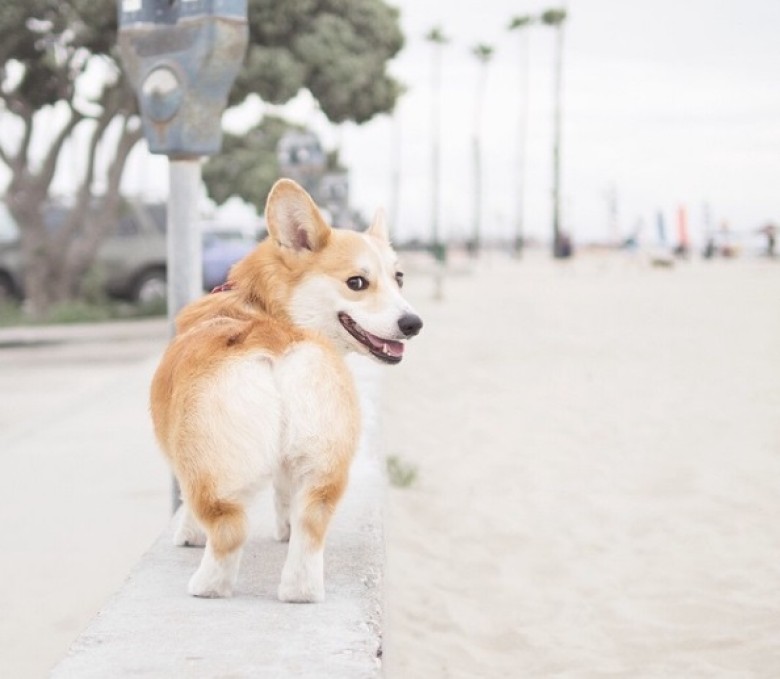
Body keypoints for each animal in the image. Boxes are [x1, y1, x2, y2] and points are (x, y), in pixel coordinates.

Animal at [149, 178, 424, 604]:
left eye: (398, 278)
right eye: (357, 282)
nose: (413, 323)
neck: (269, 310)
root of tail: (278, 344)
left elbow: (188, 511)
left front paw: (187, 536)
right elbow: (283, 495)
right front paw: (284, 530)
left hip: (209, 467)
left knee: (227, 528)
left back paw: (207, 587)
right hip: (324, 463)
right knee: (311, 526)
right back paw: (301, 591)